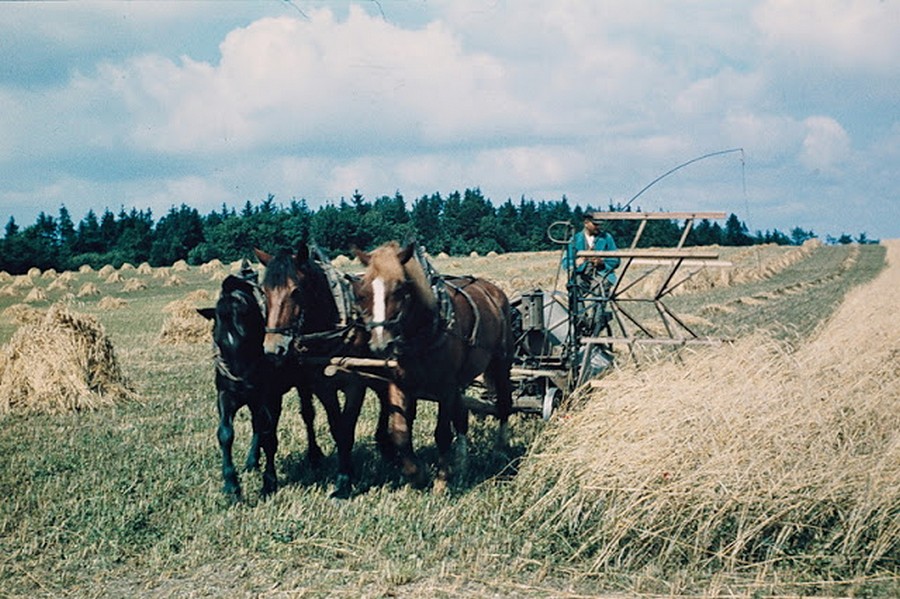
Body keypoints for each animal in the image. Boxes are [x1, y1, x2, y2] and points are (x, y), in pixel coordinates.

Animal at [200, 274, 282, 500]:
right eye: (217, 339)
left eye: (246, 337)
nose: (243, 385)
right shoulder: (225, 395)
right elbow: (225, 434)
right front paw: (231, 485)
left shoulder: (267, 397)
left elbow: (268, 436)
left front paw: (269, 483)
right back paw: (252, 462)